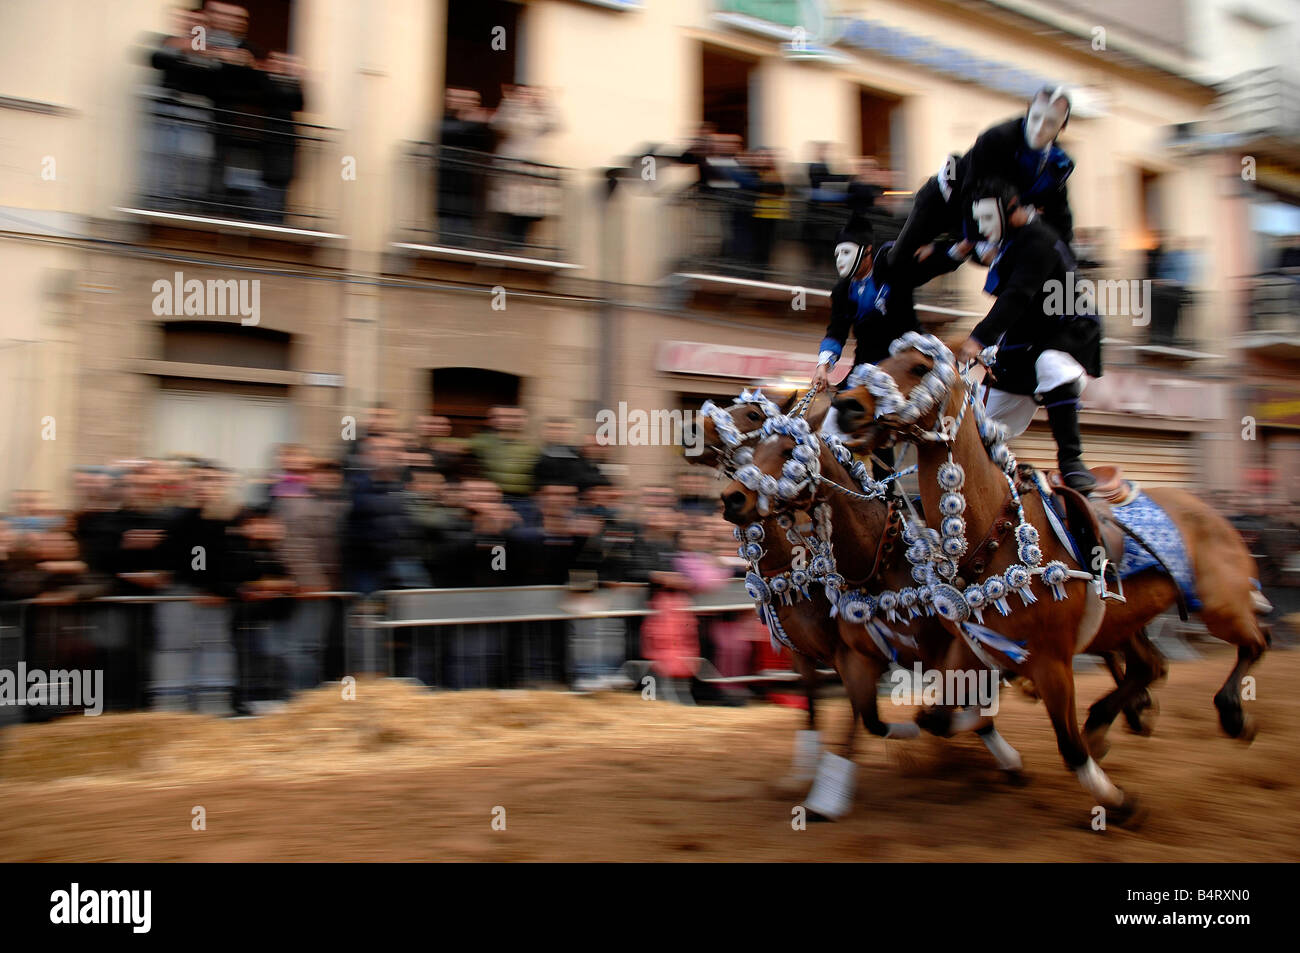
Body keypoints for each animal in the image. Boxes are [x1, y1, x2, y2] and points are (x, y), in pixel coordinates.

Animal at [826, 338, 1144, 821]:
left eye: (920, 367)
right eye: (879, 361)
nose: (847, 407)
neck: (995, 526)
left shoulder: (1046, 656)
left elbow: (1061, 739)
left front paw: (1112, 796)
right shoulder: (965, 643)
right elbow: (937, 715)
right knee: (1144, 664)